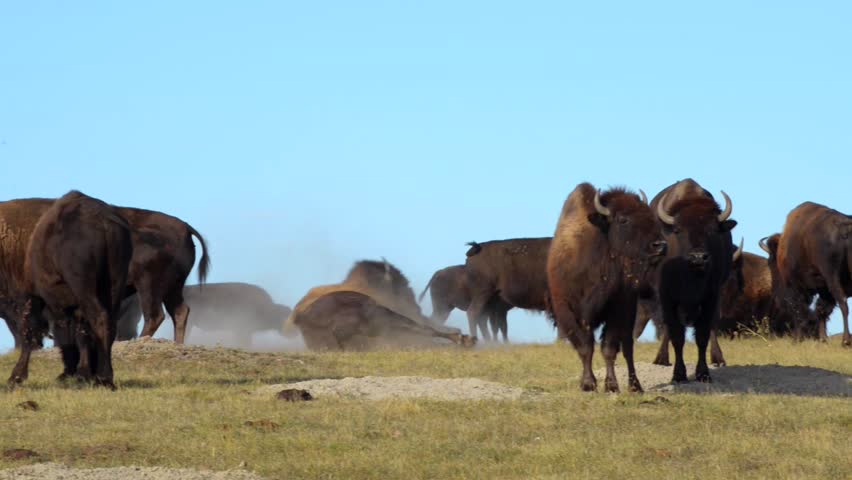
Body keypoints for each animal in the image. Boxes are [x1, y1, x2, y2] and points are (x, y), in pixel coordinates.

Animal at [9, 191, 133, 389]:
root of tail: (103, 221)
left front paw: (16, 376)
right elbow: (80, 333)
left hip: (84, 288)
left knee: (99, 319)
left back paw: (103, 377)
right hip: (115, 285)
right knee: (108, 323)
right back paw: (103, 376)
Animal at [547, 183, 667, 392]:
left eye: (649, 216)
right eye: (623, 219)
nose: (660, 245)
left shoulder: (616, 311)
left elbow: (608, 349)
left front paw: (611, 385)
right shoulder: (569, 312)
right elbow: (585, 348)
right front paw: (588, 383)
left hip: (629, 314)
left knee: (628, 349)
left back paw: (635, 385)